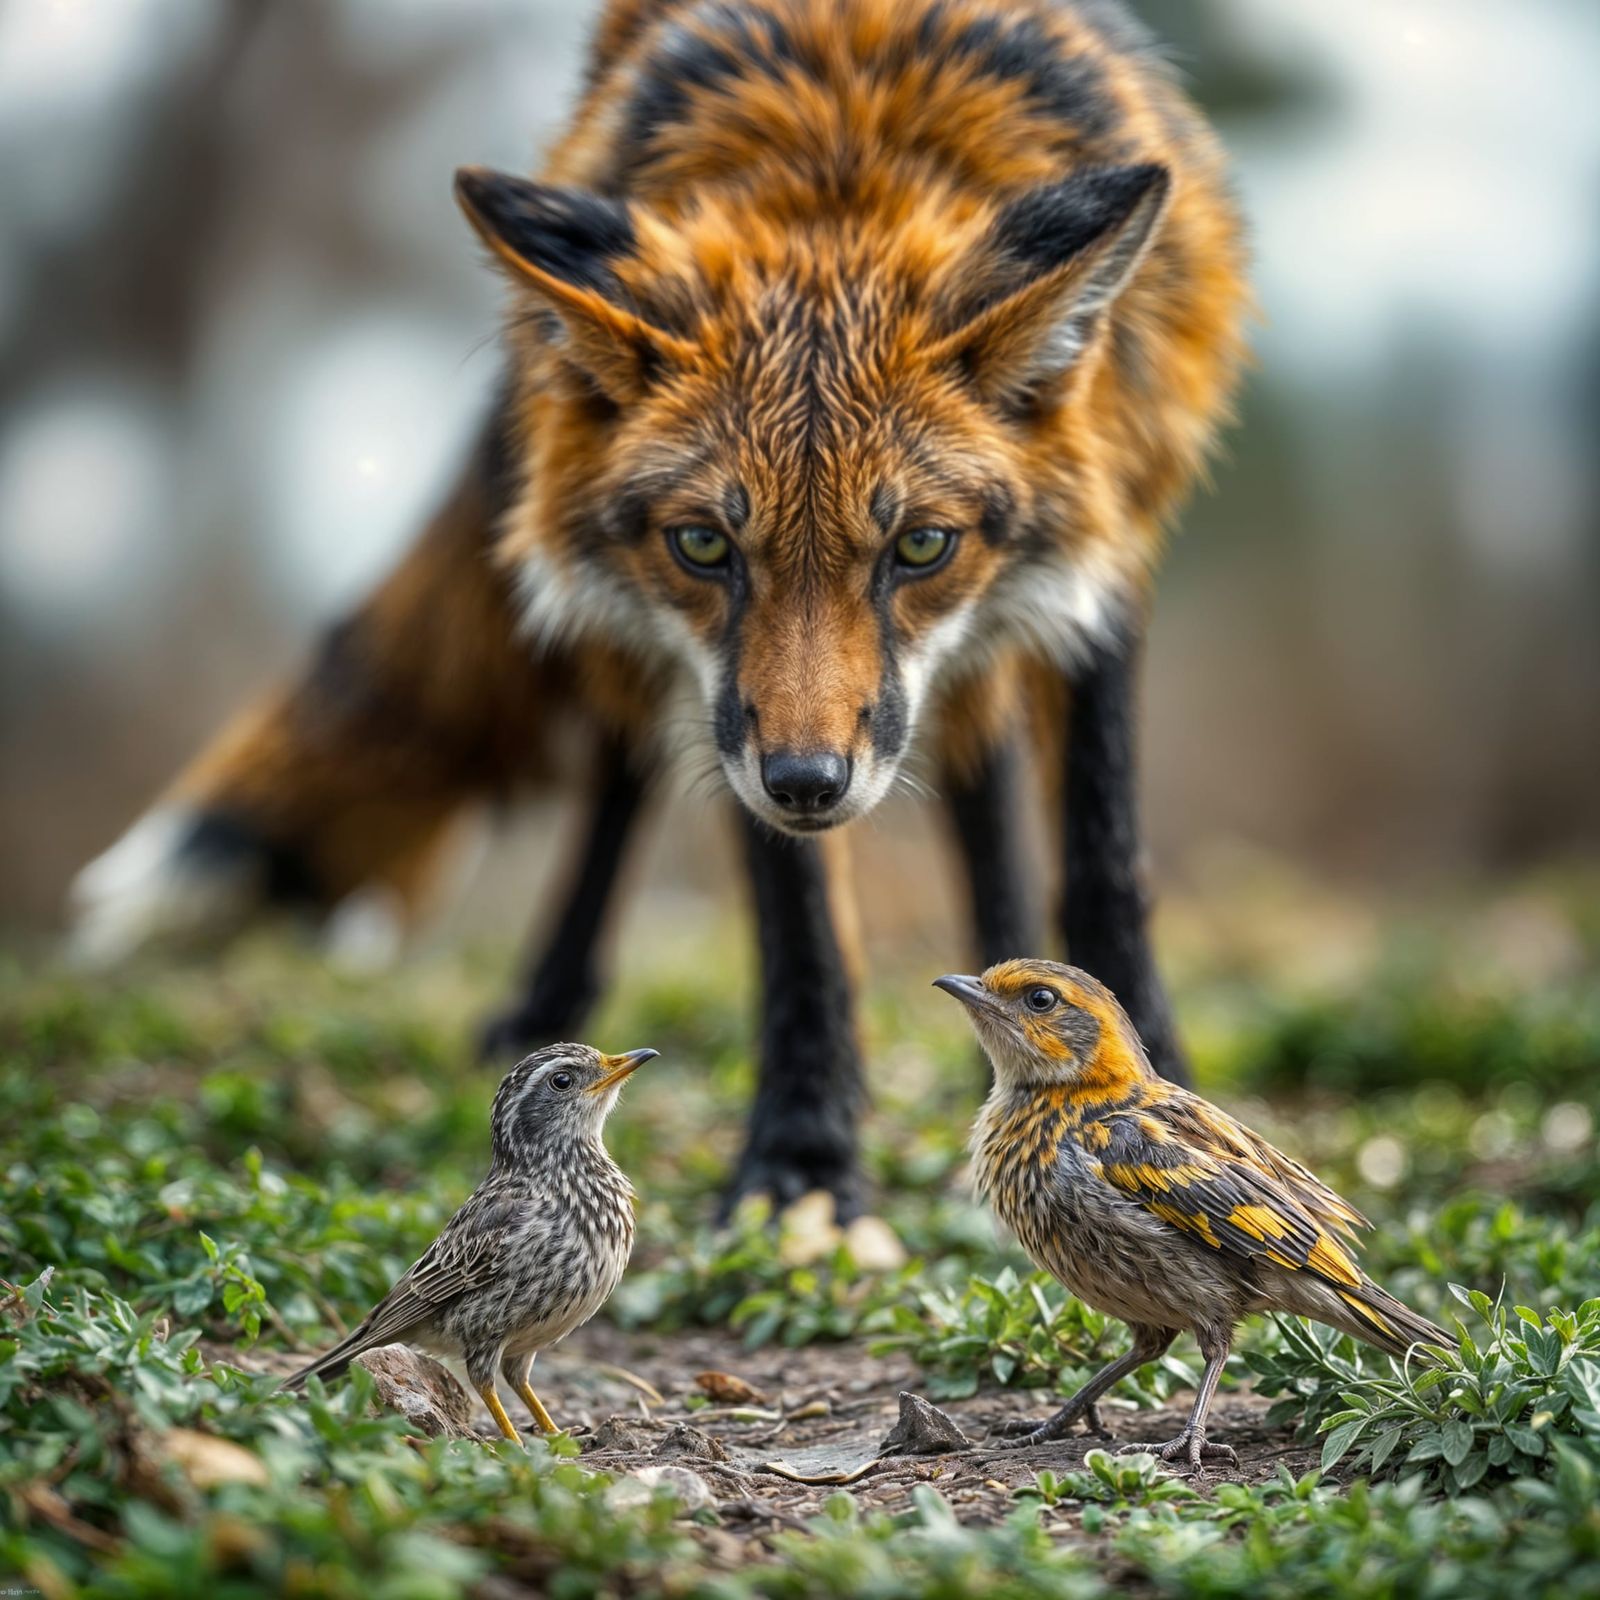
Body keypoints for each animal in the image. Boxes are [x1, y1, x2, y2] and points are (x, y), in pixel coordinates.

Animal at [71, 0, 1248, 1217]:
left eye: (919, 545)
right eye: (704, 545)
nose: (809, 784)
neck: (841, 153)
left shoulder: (1102, 549)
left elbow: (1102, 850)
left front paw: (1143, 1065)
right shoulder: (730, 703)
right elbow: (797, 923)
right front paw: (802, 1159)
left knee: (979, 782)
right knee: (616, 778)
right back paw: (547, 1006)